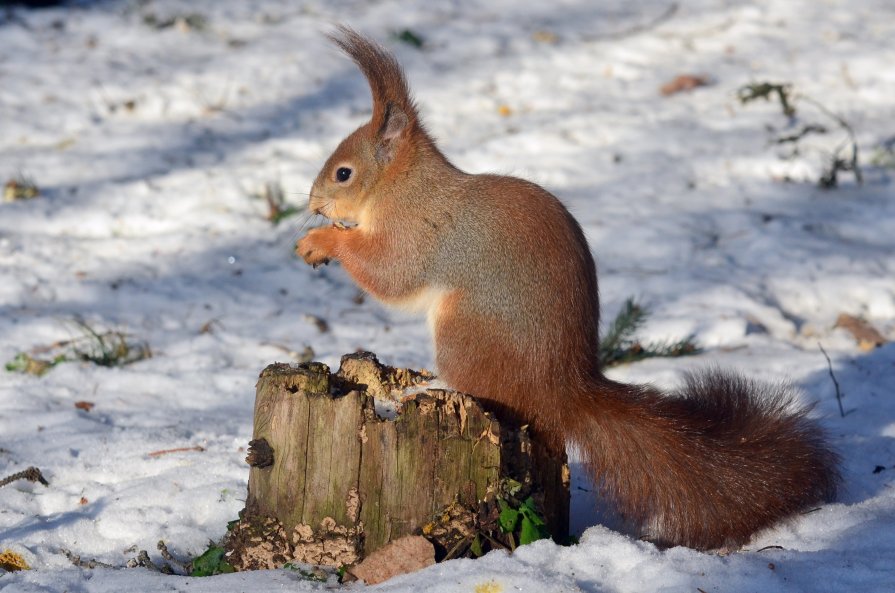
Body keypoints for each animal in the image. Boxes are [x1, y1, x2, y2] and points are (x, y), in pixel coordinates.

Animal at [296, 26, 840, 544]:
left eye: (343, 173)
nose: (313, 204)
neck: (402, 186)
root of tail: (563, 387)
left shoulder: (418, 233)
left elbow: (391, 272)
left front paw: (324, 241)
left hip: (464, 330)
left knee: (477, 385)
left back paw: (424, 386)